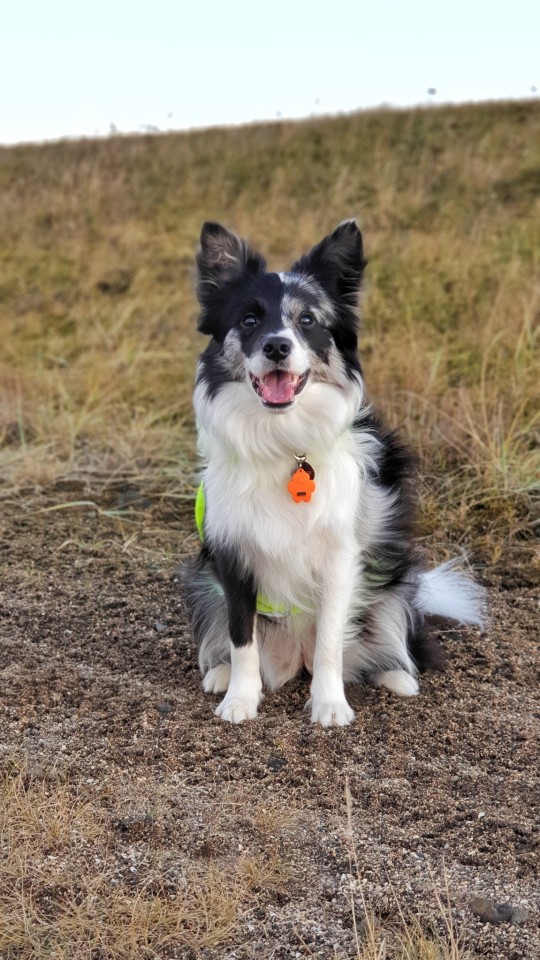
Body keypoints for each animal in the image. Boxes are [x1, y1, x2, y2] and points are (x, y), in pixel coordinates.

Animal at [186, 219, 486, 728]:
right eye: (249, 320)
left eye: (308, 320)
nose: (277, 345)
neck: (284, 440)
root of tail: (295, 659)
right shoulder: (233, 554)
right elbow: (242, 636)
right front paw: (241, 700)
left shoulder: (341, 555)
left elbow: (330, 640)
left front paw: (330, 705)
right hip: (206, 587)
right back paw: (222, 675)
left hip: (393, 592)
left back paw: (397, 677)